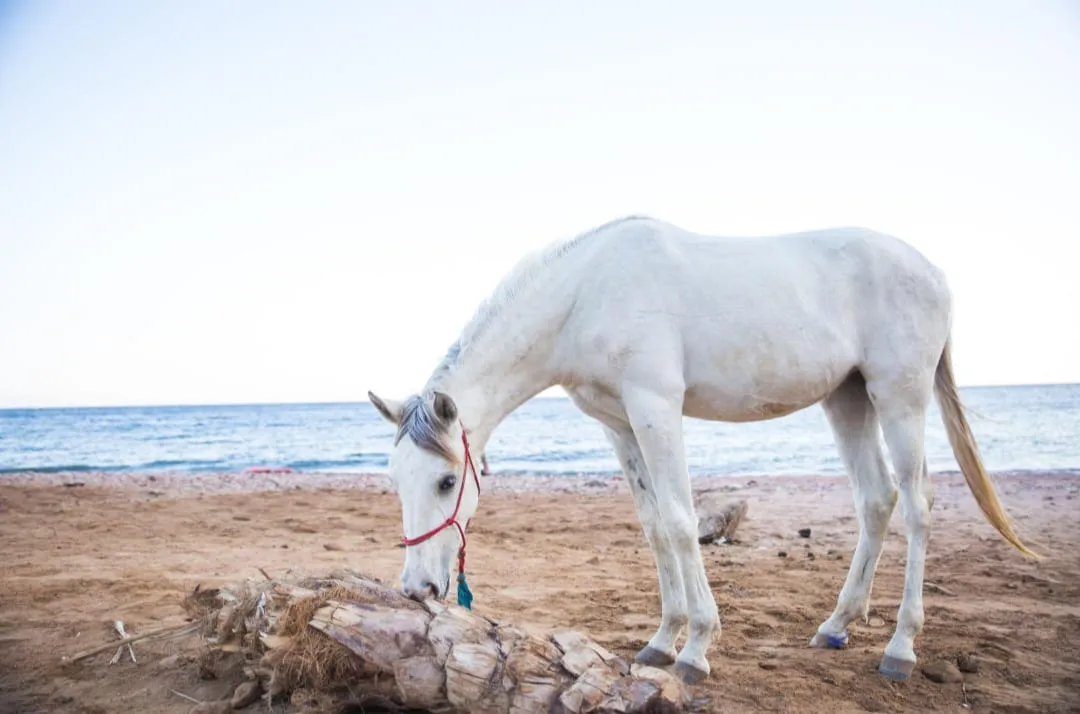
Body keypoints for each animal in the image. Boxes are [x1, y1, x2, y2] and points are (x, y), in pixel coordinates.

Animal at [367, 215, 1036, 685]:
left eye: (446, 482)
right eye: (397, 481)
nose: (417, 589)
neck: (585, 296)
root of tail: (933, 271)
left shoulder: (656, 410)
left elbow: (684, 522)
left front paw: (695, 648)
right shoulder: (619, 425)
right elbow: (655, 526)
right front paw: (662, 640)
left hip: (899, 396)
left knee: (919, 506)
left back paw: (901, 647)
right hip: (847, 399)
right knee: (876, 500)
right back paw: (837, 626)